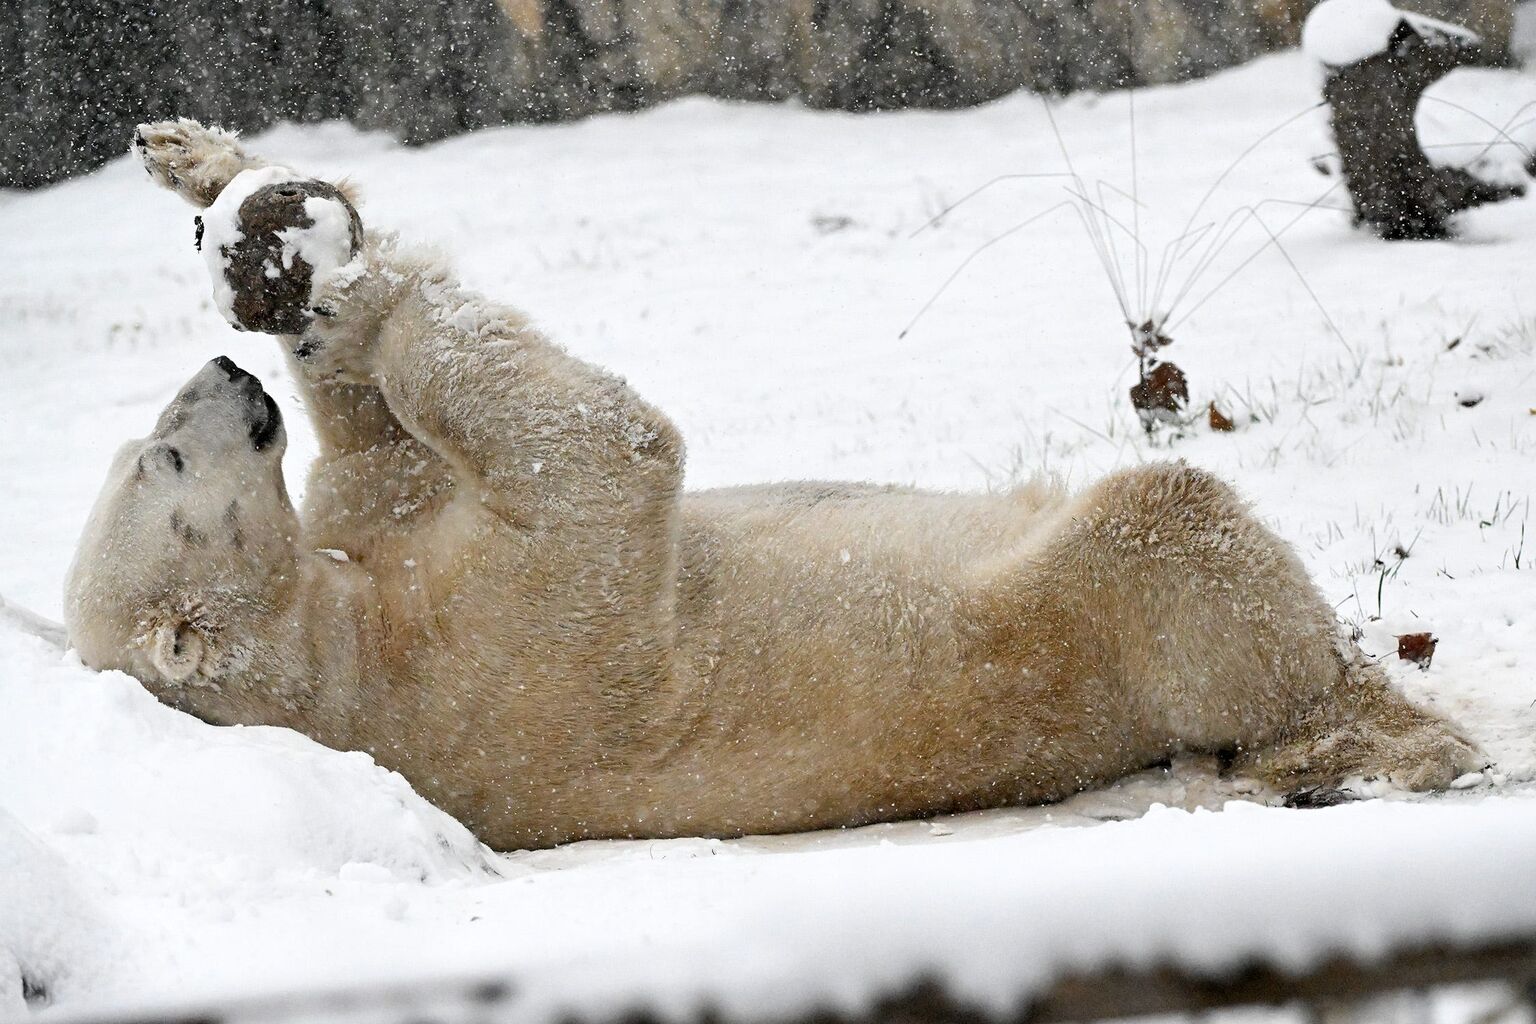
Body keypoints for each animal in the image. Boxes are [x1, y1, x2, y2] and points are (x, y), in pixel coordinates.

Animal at [64, 118, 1478, 850]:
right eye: (164, 461)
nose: (219, 377)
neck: (344, 666)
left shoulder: (387, 560)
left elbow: (377, 449)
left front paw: (222, 184)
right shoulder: (497, 649)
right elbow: (599, 447)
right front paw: (324, 271)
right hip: (1092, 624)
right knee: (1176, 533)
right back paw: (1370, 736)